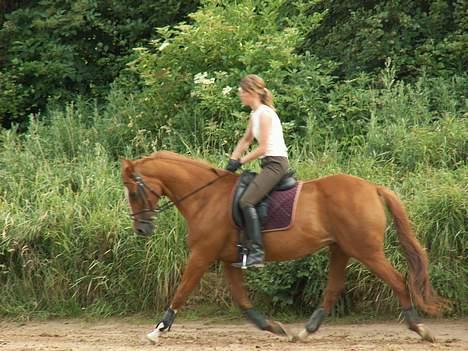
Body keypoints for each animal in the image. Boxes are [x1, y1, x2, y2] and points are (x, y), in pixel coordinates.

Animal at [121, 151, 446, 344]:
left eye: (134, 191)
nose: (141, 230)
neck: (205, 197)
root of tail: (373, 188)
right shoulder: (227, 259)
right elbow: (242, 301)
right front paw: (273, 327)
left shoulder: (202, 255)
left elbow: (182, 290)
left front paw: (157, 330)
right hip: (340, 248)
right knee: (333, 288)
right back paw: (304, 331)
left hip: (366, 250)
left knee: (398, 280)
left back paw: (420, 329)